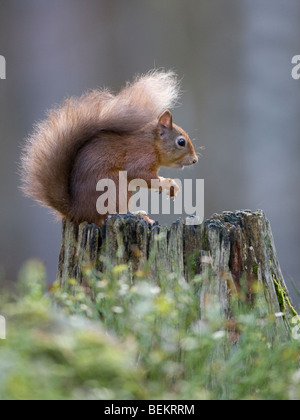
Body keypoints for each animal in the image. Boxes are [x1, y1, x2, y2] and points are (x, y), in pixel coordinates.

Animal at [21, 71, 199, 226]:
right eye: (181, 142)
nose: (195, 160)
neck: (151, 143)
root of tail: (78, 212)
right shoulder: (139, 156)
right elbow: (140, 174)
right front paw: (169, 184)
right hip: (115, 187)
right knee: (111, 214)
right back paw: (139, 215)